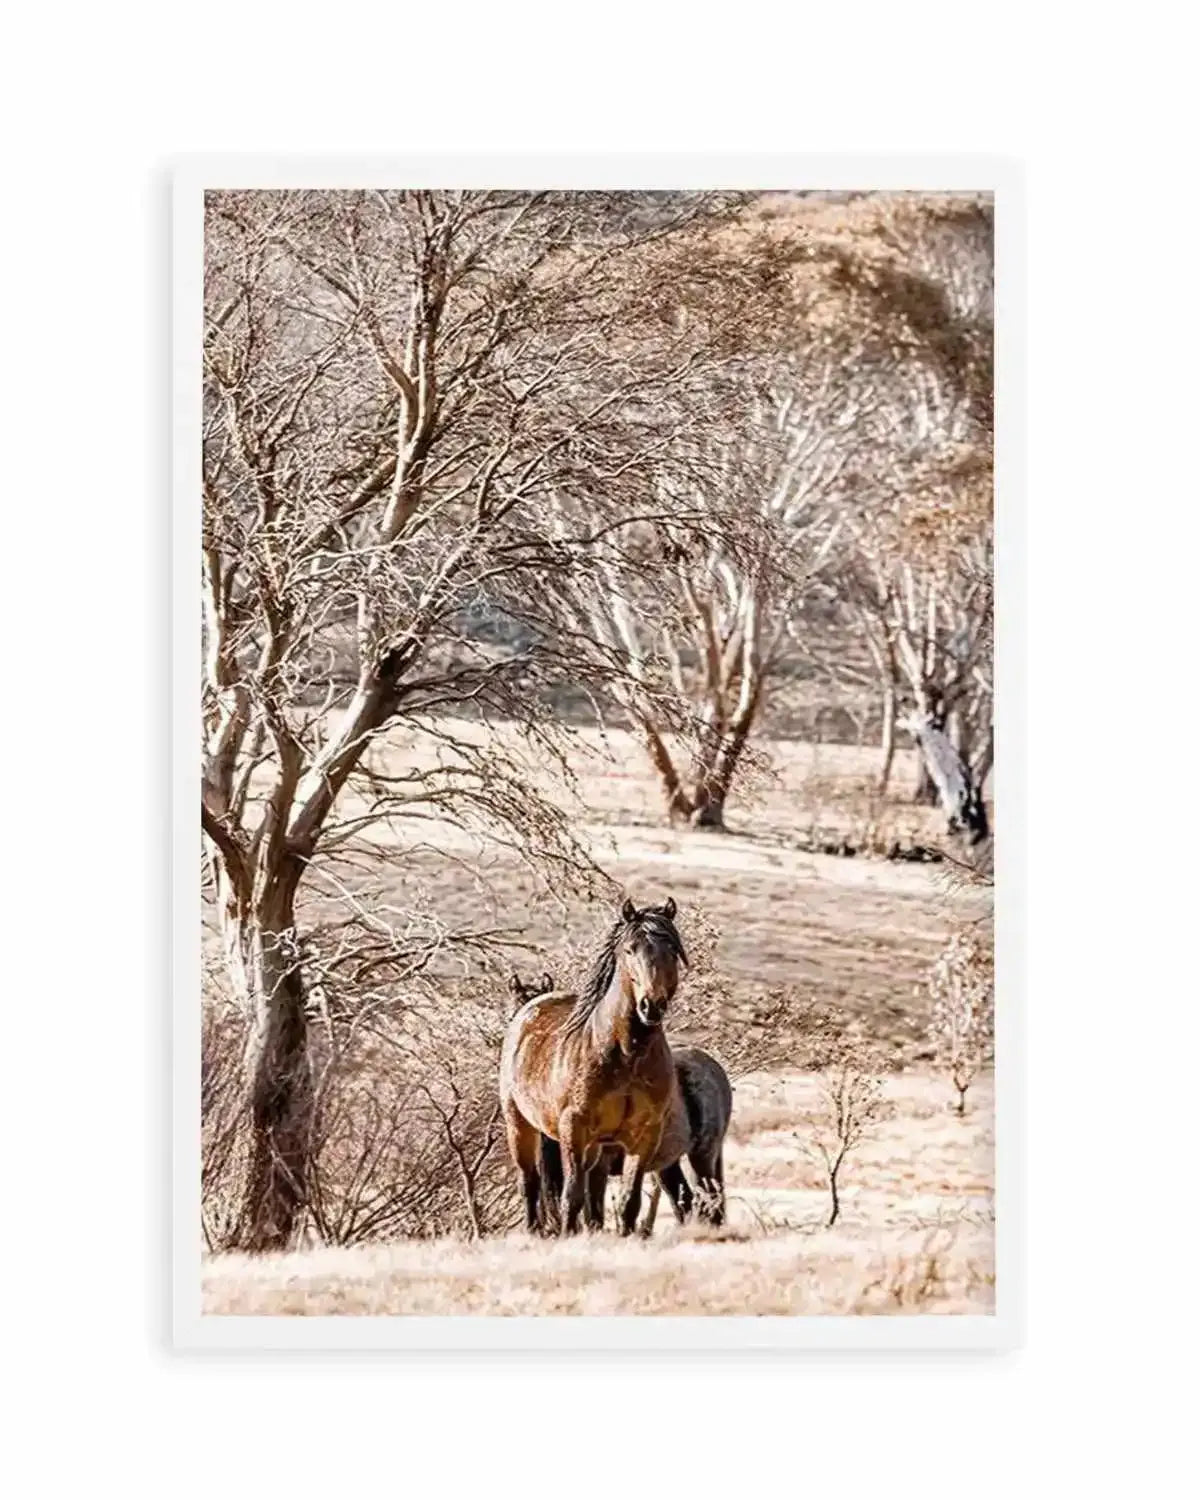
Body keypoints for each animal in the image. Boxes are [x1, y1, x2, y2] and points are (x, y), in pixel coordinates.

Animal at [499, 897, 689, 1236]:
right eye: (630, 949)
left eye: (672, 949)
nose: (651, 1006)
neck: (625, 1053)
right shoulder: (573, 1129)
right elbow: (571, 1195)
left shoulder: (644, 1134)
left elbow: (628, 1201)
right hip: (519, 1125)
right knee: (530, 1182)